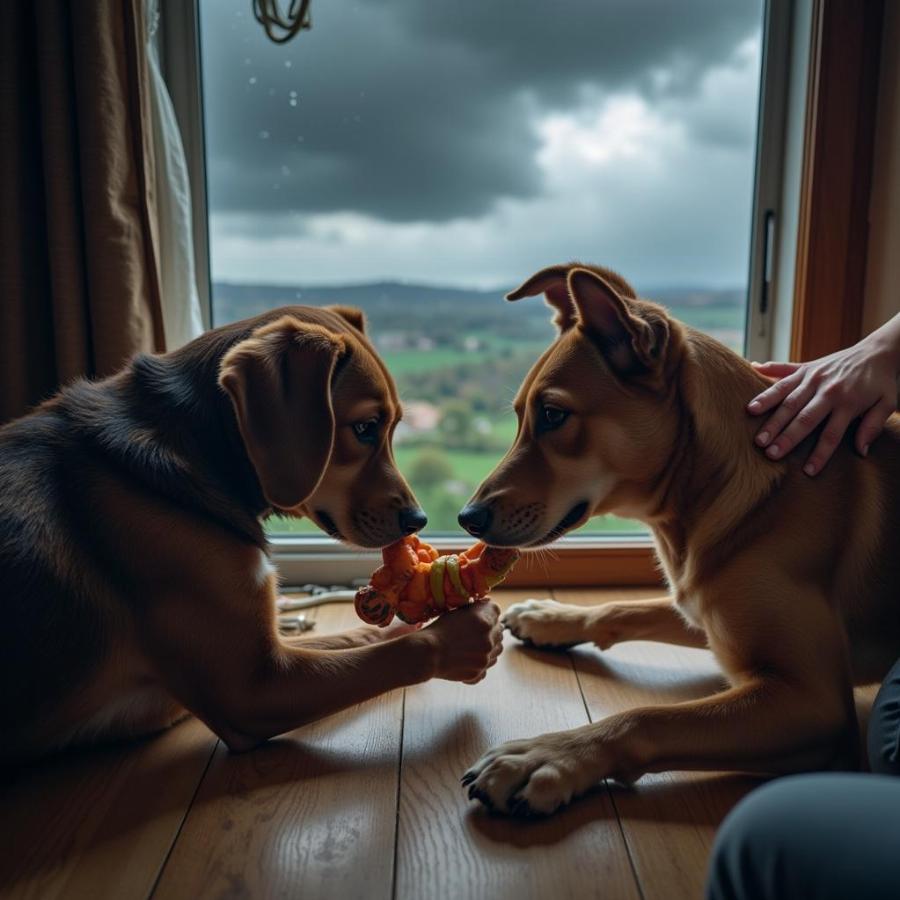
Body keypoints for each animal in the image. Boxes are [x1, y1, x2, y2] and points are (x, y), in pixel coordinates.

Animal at [3, 306, 502, 764]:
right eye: (364, 428)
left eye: (396, 426)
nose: (419, 520)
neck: (202, 453)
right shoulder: (254, 689)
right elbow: (398, 655)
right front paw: (462, 638)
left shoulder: (273, 653)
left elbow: (352, 640)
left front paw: (392, 627)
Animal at [460, 264, 896, 820]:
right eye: (519, 415)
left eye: (554, 415)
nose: (466, 518)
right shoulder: (701, 607)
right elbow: (624, 607)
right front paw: (552, 617)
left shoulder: (814, 703)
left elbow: (649, 717)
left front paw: (548, 756)